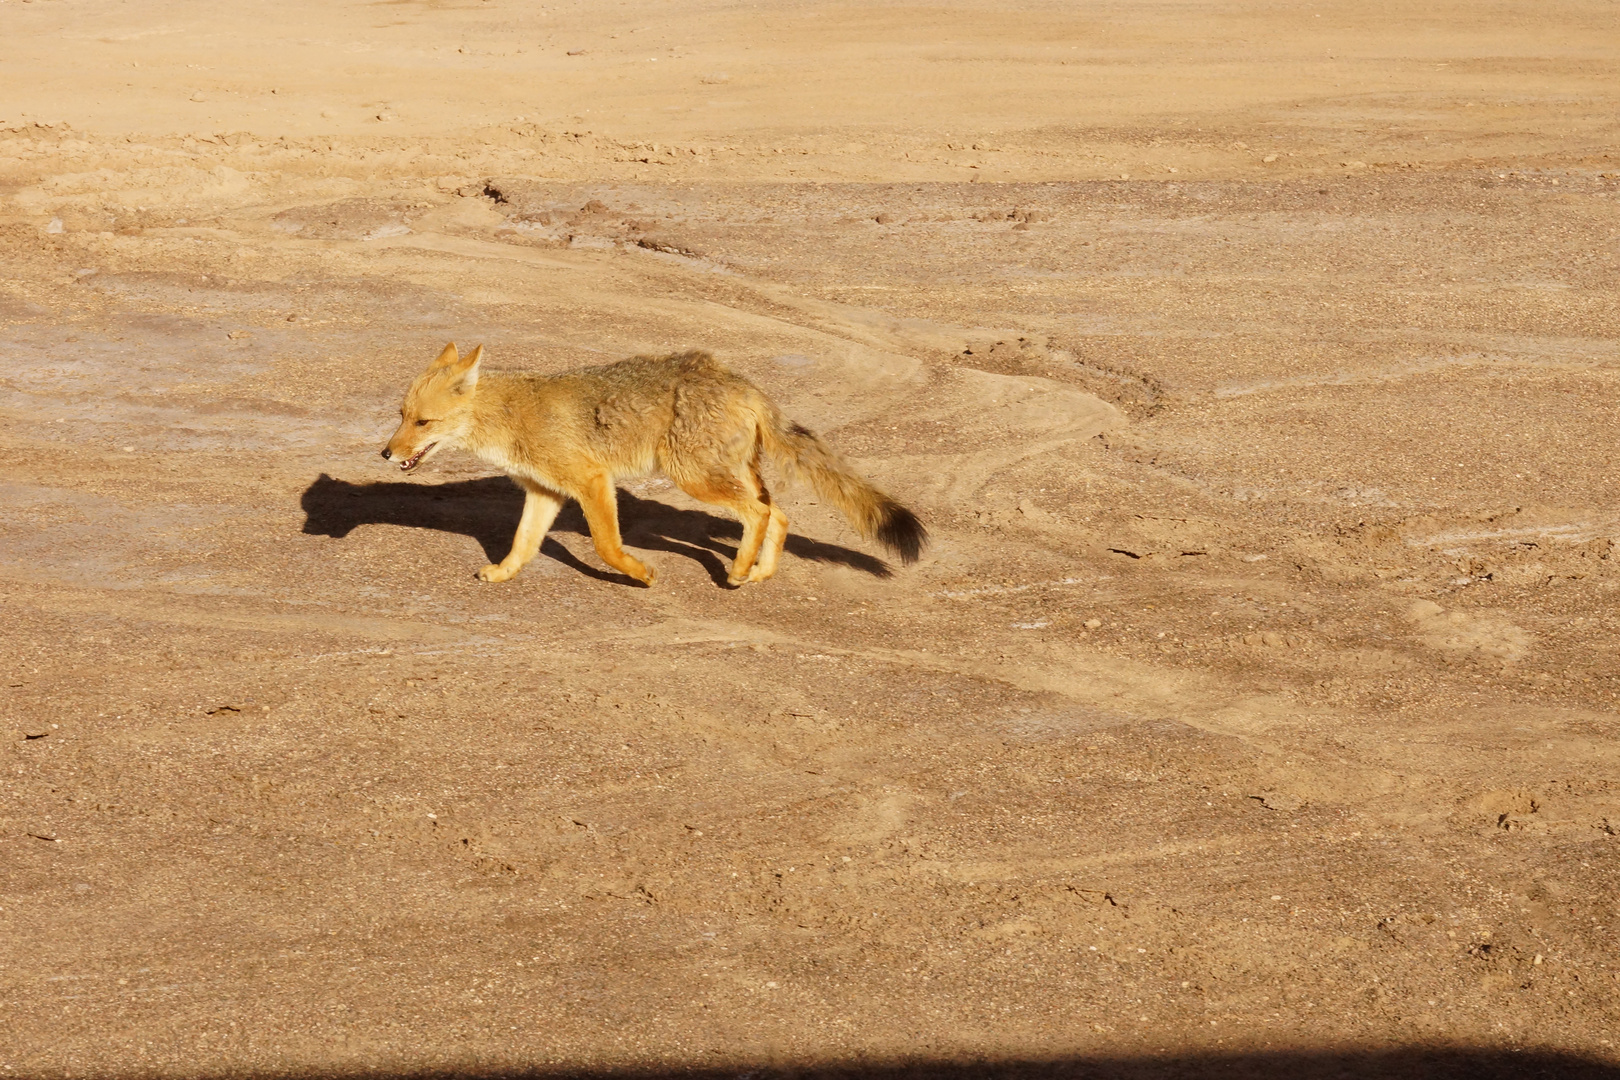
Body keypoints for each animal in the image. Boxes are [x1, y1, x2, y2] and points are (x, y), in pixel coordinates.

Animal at [380, 344, 933, 582]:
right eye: (401, 417)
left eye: (423, 423)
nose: (386, 453)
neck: (511, 415)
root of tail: (741, 382)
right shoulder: (545, 491)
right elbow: (522, 545)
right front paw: (502, 574)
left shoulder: (591, 481)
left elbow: (607, 546)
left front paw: (641, 574)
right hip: (726, 474)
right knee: (778, 512)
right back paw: (760, 572)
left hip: (694, 478)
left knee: (758, 512)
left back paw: (737, 570)